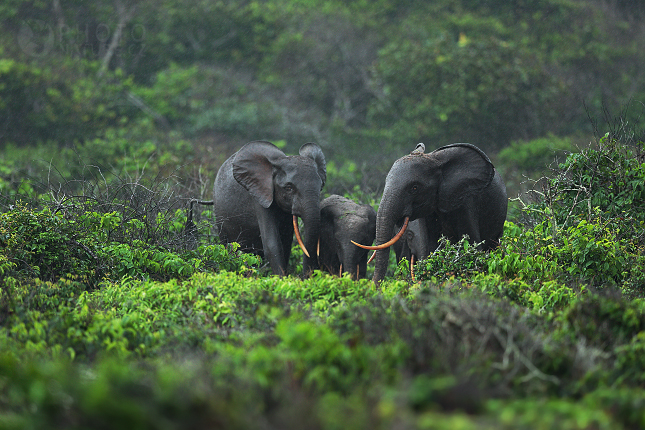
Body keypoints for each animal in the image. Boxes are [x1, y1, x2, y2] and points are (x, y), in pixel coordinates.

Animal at [214, 141, 328, 276]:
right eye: (289, 188)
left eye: (320, 187)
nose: (307, 277)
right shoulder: (259, 195)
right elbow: (272, 244)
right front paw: (282, 279)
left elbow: (286, 242)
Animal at [352, 144, 508, 286]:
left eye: (414, 188)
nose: (373, 286)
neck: (435, 160)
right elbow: (430, 247)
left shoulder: (467, 200)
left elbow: (472, 245)